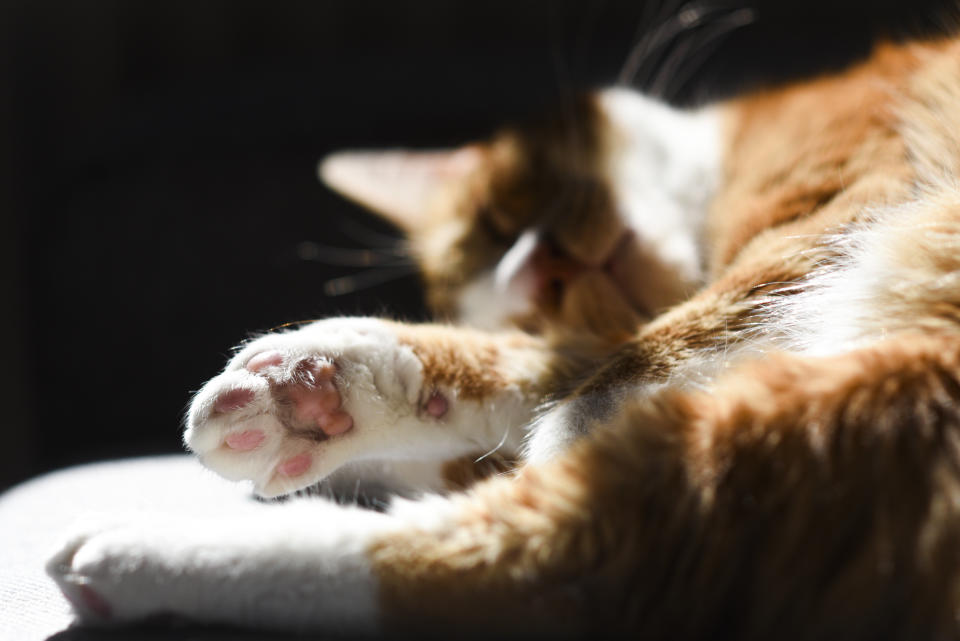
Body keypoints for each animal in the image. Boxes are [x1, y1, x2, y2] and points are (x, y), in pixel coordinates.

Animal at [48, 33, 960, 640]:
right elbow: (569, 362)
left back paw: (135, 550)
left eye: (499, 222)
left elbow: (642, 354)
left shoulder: (834, 209)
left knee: (583, 539)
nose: (533, 272)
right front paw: (318, 391)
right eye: (522, 301)